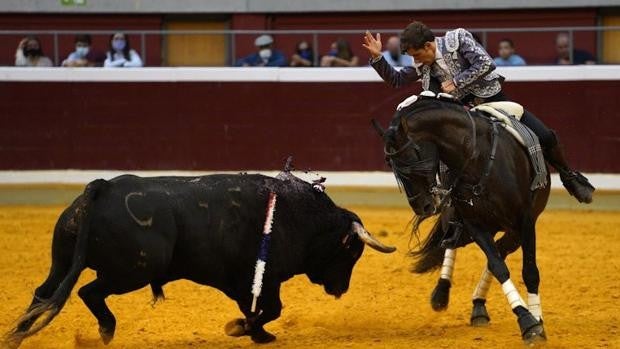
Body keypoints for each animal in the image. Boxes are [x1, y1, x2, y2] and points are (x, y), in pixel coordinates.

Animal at [6, 171, 392, 346]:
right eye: (352, 251)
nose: (341, 289)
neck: (296, 214)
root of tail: (104, 186)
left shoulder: (248, 284)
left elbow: (260, 310)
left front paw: (253, 332)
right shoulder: (258, 279)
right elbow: (270, 309)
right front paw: (246, 331)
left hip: (63, 261)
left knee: (43, 293)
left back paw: (15, 337)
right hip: (134, 270)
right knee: (89, 292)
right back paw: (106, 329)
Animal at [372, 94, 552, 344]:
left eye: (411, 155)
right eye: (391, 164)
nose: (422, 206)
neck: (477, 159)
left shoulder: (525, 220)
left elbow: (529, 271)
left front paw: (536, 322)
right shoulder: (474, 224)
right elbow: (498, 266)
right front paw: (526, 319)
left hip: (514, 228)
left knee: (499, 248)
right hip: (468, 224)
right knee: (457, 243)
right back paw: (446, 294)